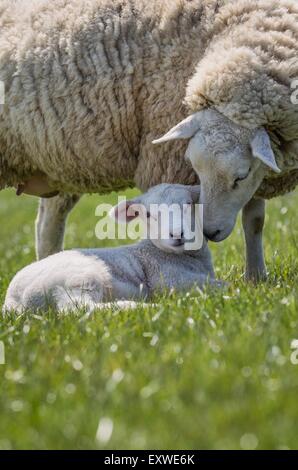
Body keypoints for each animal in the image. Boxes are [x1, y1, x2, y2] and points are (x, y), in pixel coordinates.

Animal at [2, 185, 220, 314]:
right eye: (148, 214)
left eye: (189, 204)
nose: (177, 234)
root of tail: (14, 301)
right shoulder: (170, 280)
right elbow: (220, 285)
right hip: (77, 278)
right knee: (77, 308)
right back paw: (138, 307)